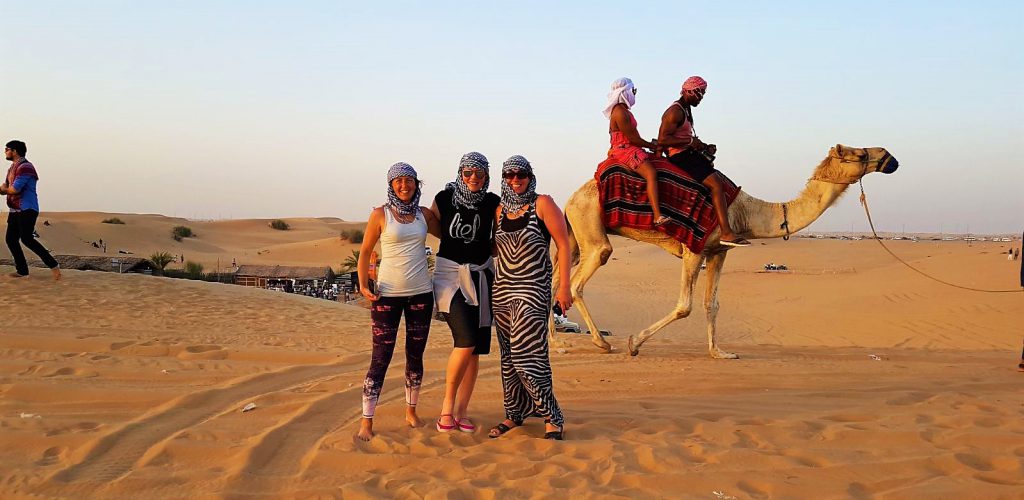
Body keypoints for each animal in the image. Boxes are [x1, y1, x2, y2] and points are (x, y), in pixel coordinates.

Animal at [557, 142, 901, 356]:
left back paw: (558, 346)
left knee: (559, 277)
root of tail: (571, 197)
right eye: (859, 154)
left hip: (576, 233)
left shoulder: (718, 250)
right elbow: (685, 305)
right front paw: (634, 343)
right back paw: (602, 344)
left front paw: (719, 353)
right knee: (579, 280)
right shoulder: (694, 247)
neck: (744, 211)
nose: (891, 158)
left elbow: (712, 304)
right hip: (592, 227)